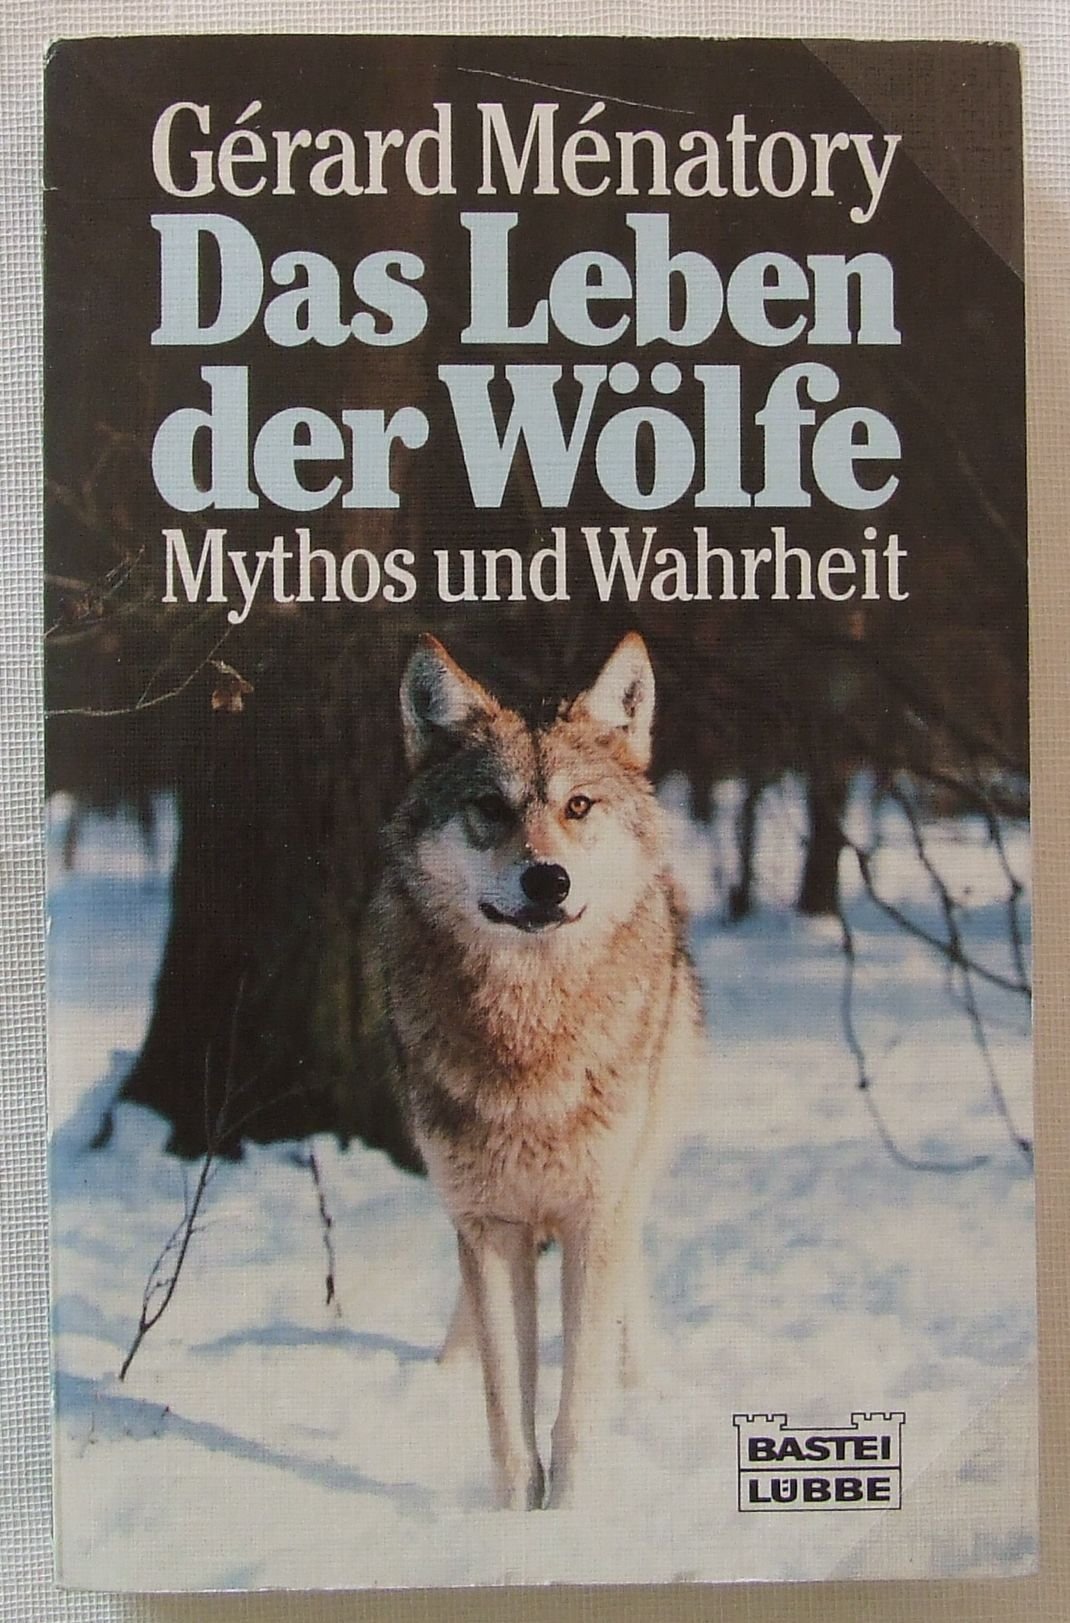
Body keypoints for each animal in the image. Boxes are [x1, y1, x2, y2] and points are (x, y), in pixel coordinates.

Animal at [373, 631, 704, 1510]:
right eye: (490, 806)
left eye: (578, 807)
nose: (546, 879)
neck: (532, 1032)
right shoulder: (490, 1222)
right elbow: (505, 1407)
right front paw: (513, 1517)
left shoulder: (594, 1214)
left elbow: (575, 1401)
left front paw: (568, 1518)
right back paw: (444, 1367)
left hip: (636, 1167)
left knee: (633, 1269)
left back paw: (641, 1379)